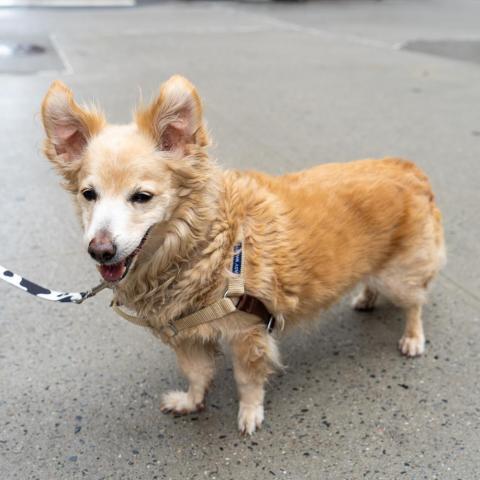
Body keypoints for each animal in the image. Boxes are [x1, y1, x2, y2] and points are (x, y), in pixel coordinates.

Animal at [41, 75, 446, 436]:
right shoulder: (187, 335)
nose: (100, 250)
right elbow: (197, 374)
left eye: (142, 197)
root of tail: (408, 168)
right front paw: (191, 401)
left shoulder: (247, 333)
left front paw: (250, 414)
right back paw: (365, 297)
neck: (206, 245)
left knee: (414, 303)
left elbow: (247, 382)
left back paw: (412, 338)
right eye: (89, 194)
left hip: (399, 277)